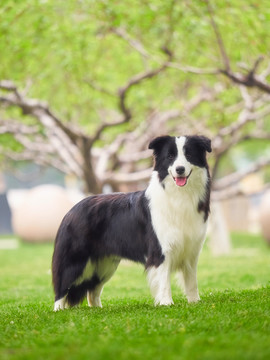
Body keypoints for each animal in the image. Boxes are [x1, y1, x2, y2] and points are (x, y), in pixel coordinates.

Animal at [52, 134, 211, 310]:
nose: (180, 169)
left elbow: (191, 281)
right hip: (75, 260)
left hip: (105, 265)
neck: (179, 195)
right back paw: (59, 310)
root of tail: (71, 210)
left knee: (92, 291)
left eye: (188, 154)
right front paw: (166, 303)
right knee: (62, 286)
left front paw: (195, 302)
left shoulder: (191, 250)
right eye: (170, 156)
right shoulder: (160, 250)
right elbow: (163, 280)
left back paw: (98, 310)